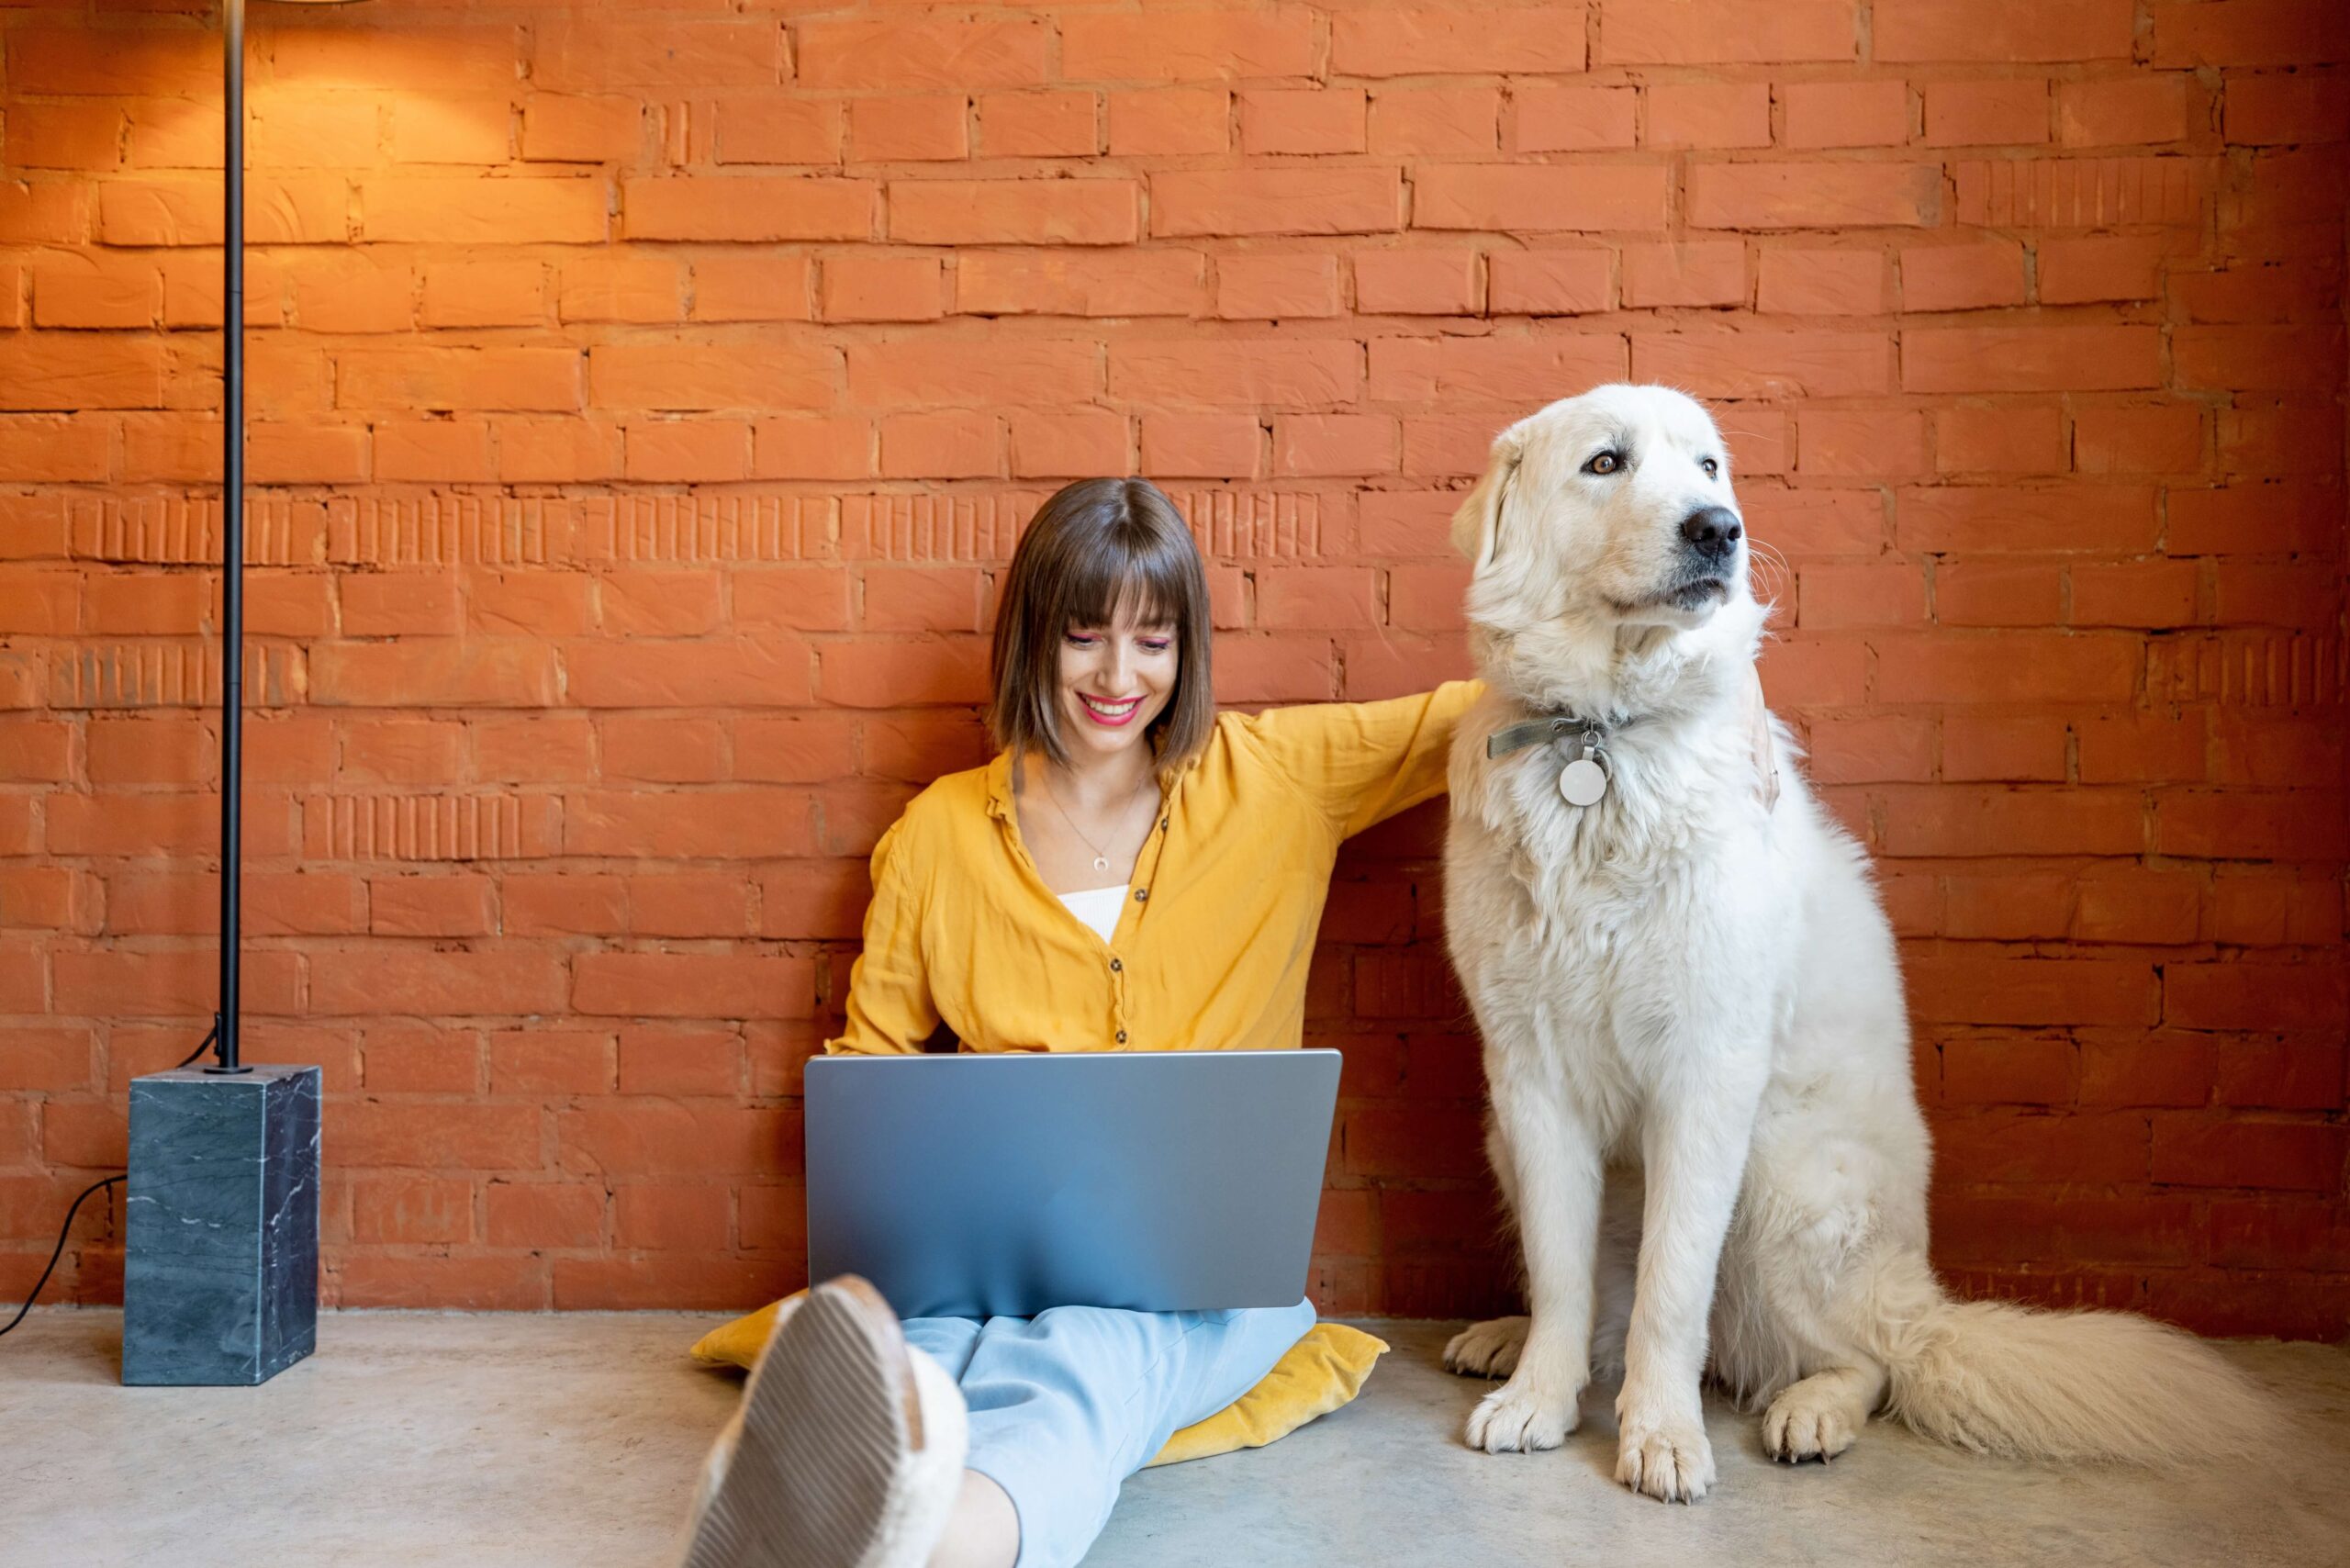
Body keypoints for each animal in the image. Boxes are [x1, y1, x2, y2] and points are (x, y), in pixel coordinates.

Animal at [1438, 385, 2265, 1504]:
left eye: (1708, 467)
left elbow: (1670, 1292)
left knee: (1871, 1359)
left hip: (1785, 1171)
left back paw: (1811, 1411)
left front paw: (1663, 1437)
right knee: (1602, 1307)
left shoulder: (1708, 1071)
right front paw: (1537, 1396)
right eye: (1606, 463)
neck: (1602, 741)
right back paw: (1509, 1339)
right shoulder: (1530, 1075)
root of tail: (1919, 1295)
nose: (1720, 530)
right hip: (1510, 1140)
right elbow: (1565, 1276)